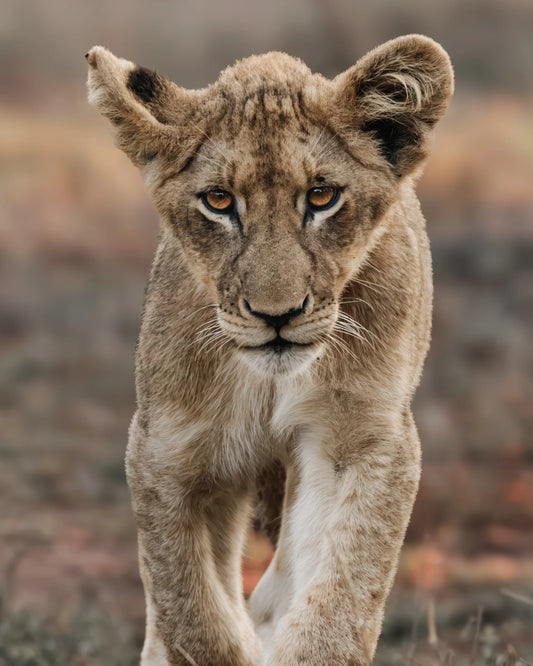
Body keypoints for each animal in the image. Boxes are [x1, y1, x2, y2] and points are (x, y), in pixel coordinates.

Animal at [86, 35, 453, 665]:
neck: (270, 380)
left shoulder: (363, 437)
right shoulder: (167, 450)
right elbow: (189, 608)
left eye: (322, 196)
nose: (277, 315)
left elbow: (342, 593)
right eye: (218, 200)